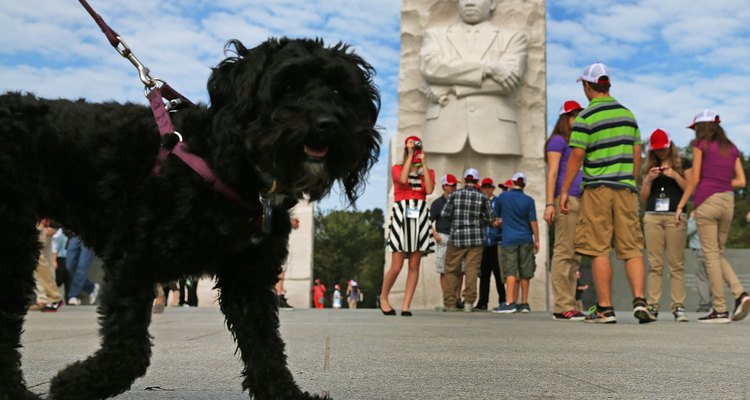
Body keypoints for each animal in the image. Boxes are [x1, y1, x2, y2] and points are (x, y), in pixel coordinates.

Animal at [0, 38, 382, 400]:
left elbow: (267, 349)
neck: (229, 162)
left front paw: (285, 394)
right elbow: (130, 352)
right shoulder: (131, 261)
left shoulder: (249, 280)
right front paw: (71, 384)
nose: (326, 124)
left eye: (339, 91)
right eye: (287, 86)